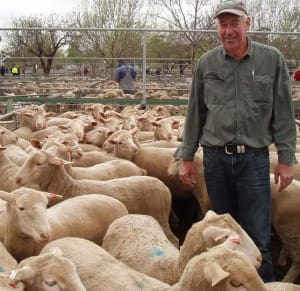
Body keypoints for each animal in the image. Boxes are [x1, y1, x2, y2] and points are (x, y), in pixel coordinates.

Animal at [14, 149, 178, 248]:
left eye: (39, 163)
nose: (17, 179)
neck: (69, 189)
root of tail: (164, 186)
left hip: (161, 216)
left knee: (174, 240)